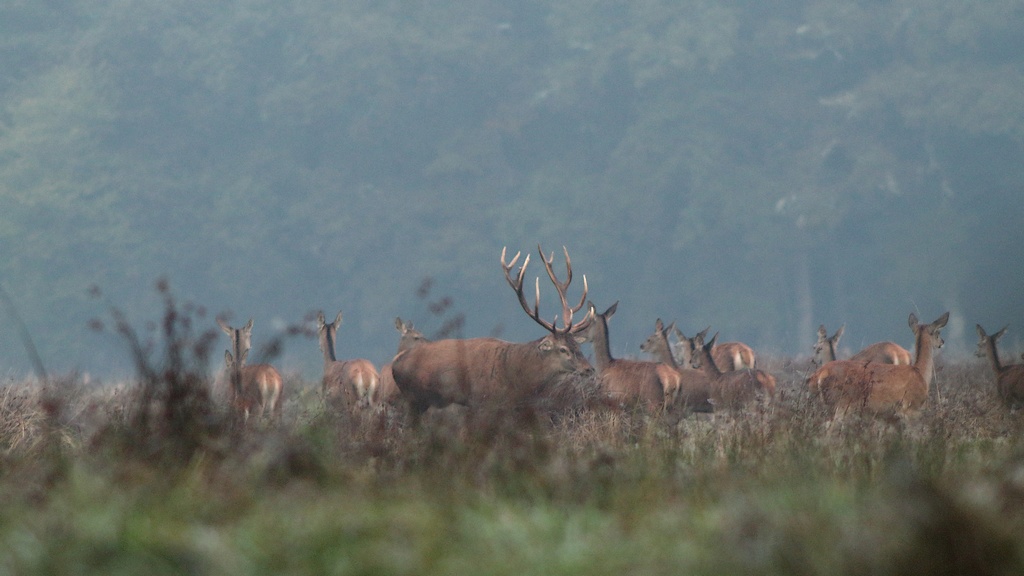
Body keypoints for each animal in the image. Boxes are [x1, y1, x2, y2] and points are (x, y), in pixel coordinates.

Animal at [390, 245, 594, 414]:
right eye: (563, 349)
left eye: (578, 346)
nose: (589, 369)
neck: (515, 376)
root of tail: (394, 364)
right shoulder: (482, 401)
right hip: (413, 399)